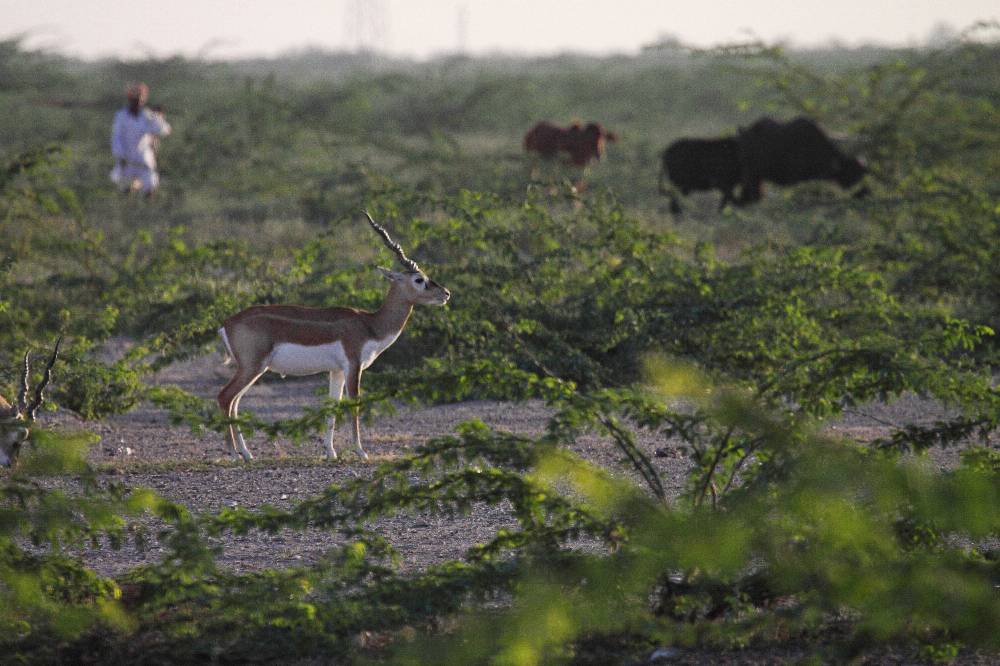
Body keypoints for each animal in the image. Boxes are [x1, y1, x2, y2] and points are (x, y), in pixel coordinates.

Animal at [223, 210, 454, 460]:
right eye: (419, 279)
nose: (446, 294)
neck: (370, 324)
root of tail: (227, 323)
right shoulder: (353, 365)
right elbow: (355, 404)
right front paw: (361, 451)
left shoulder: (336, 371)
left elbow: (332, 407)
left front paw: (331, 452)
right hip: (253, 367)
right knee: (225, 397)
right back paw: (234, 454)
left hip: (253, 369)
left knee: (234, 403)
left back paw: (246, 453)